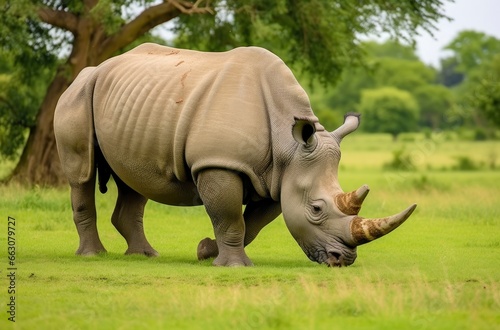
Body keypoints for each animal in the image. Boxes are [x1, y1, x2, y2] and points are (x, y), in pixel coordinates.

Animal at [52, 42, 416, 266]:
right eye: (316, 208)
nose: (343, 260)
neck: (289, 143)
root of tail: (94, 69)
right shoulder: (219, 164)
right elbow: (229, 217)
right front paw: (234, 265)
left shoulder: (278, 175)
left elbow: (252, 223)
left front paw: (204, 251)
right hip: (77, 94)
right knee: (81, 174)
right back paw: (93, 256)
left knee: (134, 180)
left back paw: (145, 256)